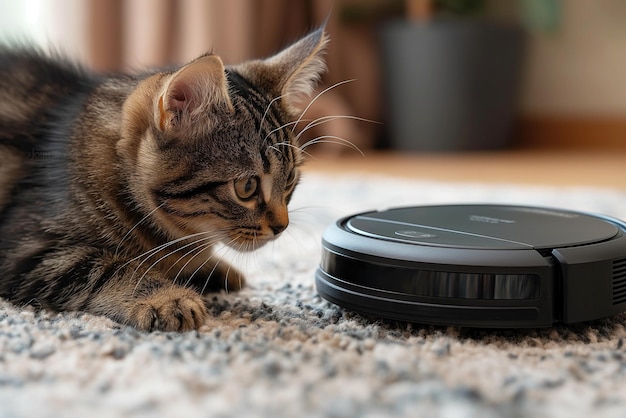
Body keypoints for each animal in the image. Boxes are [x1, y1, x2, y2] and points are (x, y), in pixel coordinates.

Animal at [0, 27, 330, 334]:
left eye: (290, 180)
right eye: (246, 187)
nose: (281, 227)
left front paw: (211, 268)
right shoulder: (28, 248)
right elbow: (107, 268)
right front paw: (167, 297)